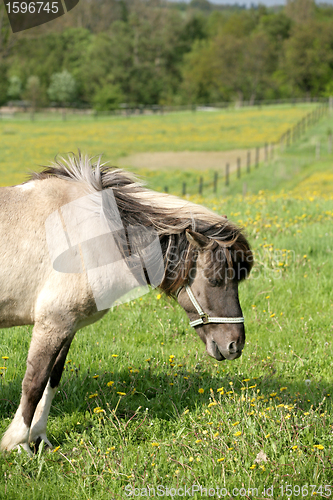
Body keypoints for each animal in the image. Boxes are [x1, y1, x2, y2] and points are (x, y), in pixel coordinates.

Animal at [0, 153, 252, 454]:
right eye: (215, 279)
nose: (235, 345)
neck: (90, 234)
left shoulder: (66, 327)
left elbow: (52, 379)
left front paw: (39, 437)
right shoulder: (52, 324)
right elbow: (34, 383)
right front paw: (17, 443)